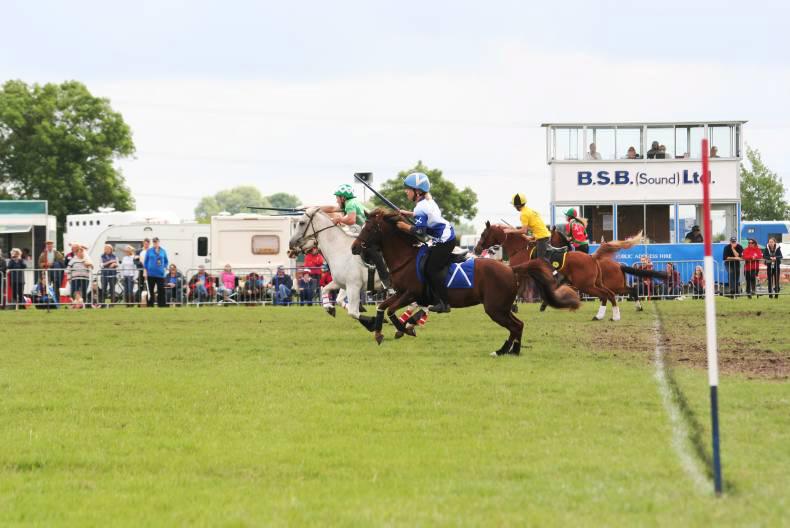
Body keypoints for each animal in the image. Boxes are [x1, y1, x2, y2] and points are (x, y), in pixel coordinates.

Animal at [350, 209, 581, 355]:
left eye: (369, 228)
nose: (354, 247)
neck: (405, 258)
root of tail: (509, 268)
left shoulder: (410, 294)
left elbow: (391, 310)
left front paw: (405, 329)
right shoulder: (400, 294)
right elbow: (382, 306)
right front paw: (379, 331)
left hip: (495, 308)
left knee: (516, 326)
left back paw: (505, 350)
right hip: (501, 308)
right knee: (518, 325)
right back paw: (509, 350)